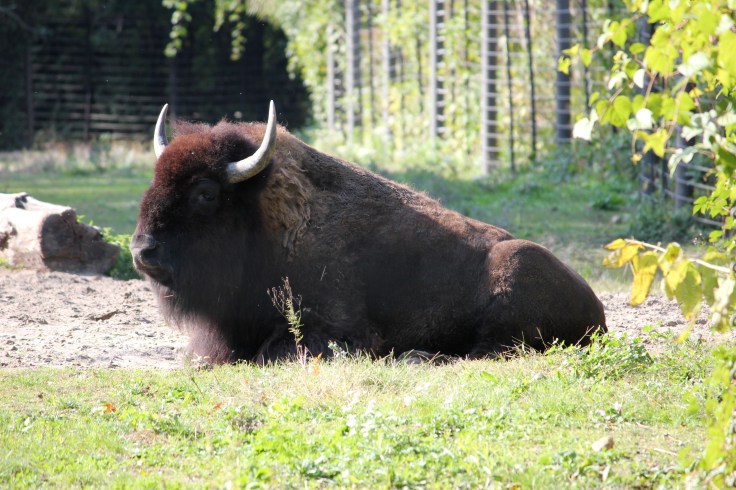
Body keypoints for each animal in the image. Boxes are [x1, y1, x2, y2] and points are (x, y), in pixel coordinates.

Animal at [131, 102, 606, 364]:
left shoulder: (338, 332)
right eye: (154, 178)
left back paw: (416, 357)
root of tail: (599, 311)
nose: (142, 251)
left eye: (206, 193)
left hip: (515, 271)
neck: (270, 221)